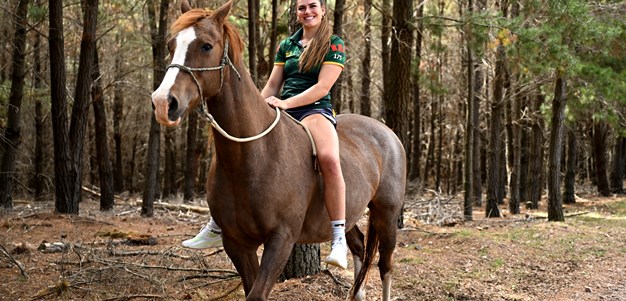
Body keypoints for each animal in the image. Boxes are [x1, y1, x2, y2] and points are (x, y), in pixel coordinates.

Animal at [151, 1, 404, 298]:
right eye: (171, 45)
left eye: (206, 46)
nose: (162, 102)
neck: (254, 156)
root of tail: (387, 133)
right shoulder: (237, 243)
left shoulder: (281, 239)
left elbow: (258, 293)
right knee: (359, 247)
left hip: (386, 213)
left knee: (385, 265)